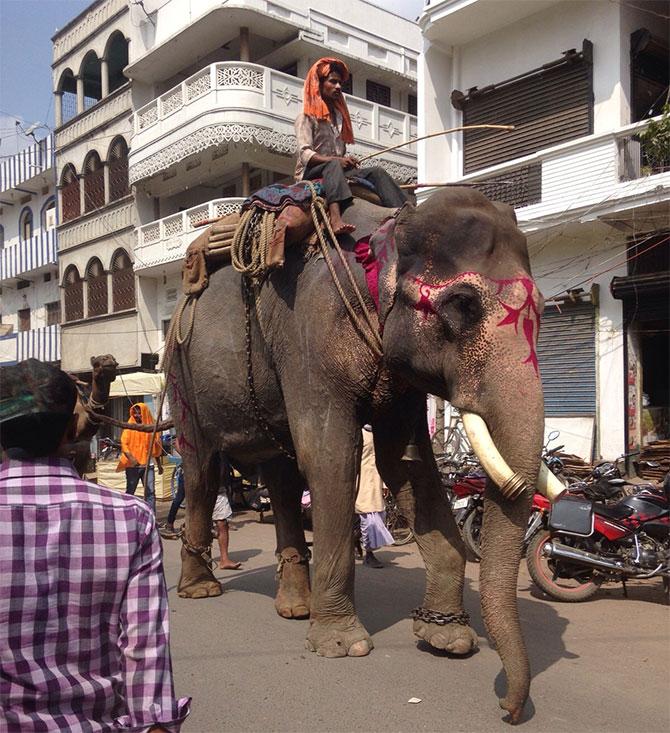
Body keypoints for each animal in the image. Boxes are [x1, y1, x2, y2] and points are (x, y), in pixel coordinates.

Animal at [167, 187, 568, 720]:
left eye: (543, 309)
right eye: (461, 305)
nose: (506, 707)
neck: (387, 232)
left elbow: (406, 462)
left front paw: (446, 638)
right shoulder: (309, 336)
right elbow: (332, 454)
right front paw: (342, 645)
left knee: (281, 475)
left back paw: (295, 607)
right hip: (183, 377)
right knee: (202, 470)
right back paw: (202, 589)